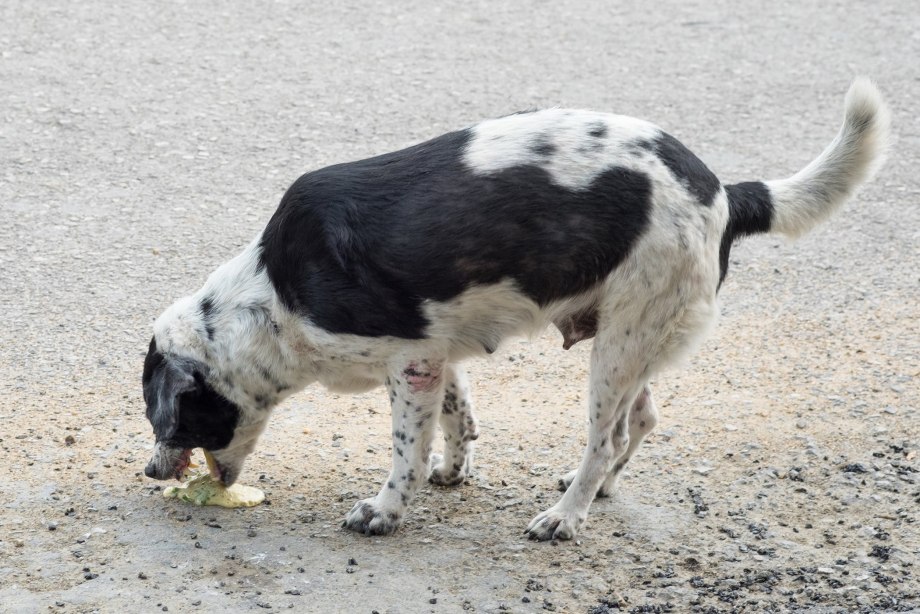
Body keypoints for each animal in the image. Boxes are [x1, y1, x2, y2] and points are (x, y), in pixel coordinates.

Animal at [140, 79, 888, 540]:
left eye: (166, 418)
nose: (148, 473)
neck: (272, 296)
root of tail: (725, 192)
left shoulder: (409, 364)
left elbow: (405, 451)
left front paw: (386, 510)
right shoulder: (435, 356)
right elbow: (458, 418)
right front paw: (452, 472)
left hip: (619, 346)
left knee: (604, 437)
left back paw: (566, 515)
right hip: (635, 337)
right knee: (641, 419)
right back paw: (598, 490)